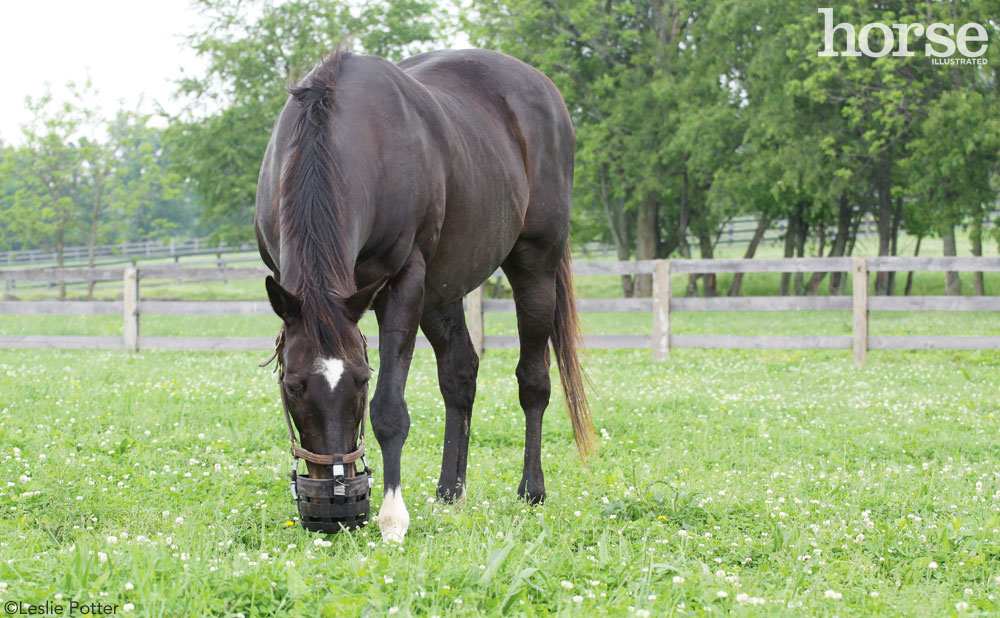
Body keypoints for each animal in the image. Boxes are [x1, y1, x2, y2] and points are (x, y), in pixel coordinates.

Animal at [254, 48, 592, 540]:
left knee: (534, 381)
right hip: (441, 290)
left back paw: (531, 489)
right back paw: (451, 491)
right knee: (460, 375)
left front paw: (392, 517)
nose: (336, 507)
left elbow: (390, 410)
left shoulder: (404, 283)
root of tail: (543, 87)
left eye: (362, 380)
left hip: (534, 266)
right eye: (293, 385)